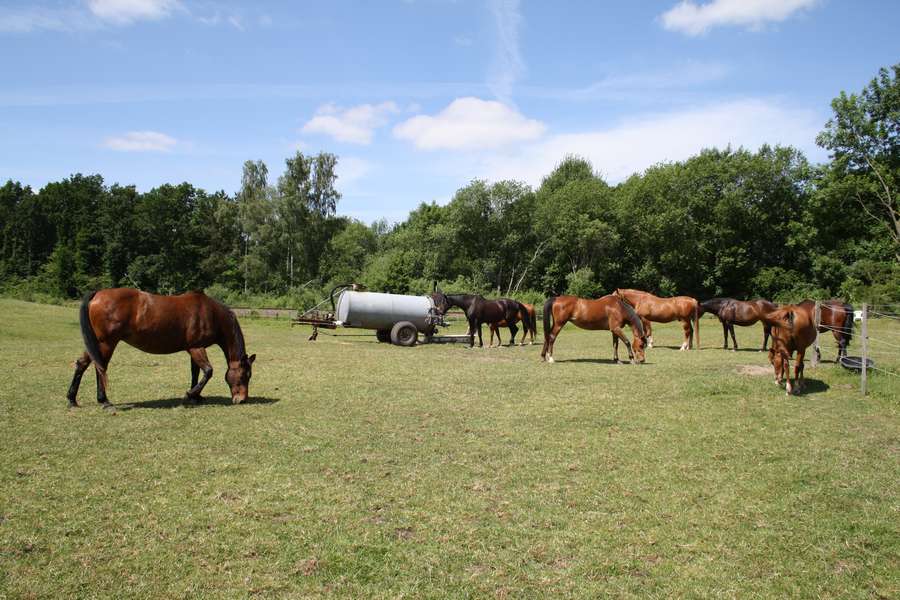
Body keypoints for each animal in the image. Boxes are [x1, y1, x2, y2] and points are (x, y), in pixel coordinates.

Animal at [67, 288, 255, 410]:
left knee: (82, 364)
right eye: (244, 376)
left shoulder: (193, 348)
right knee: (100, 367)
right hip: (106, 343)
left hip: (97, 343)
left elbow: (195, 372)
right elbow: (208, 371)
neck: (210, 312)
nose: (241, 400)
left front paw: (196, 397)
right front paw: (189, 394)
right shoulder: (196, 348)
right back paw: (104, 401)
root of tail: (97, 294)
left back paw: (72, 400)